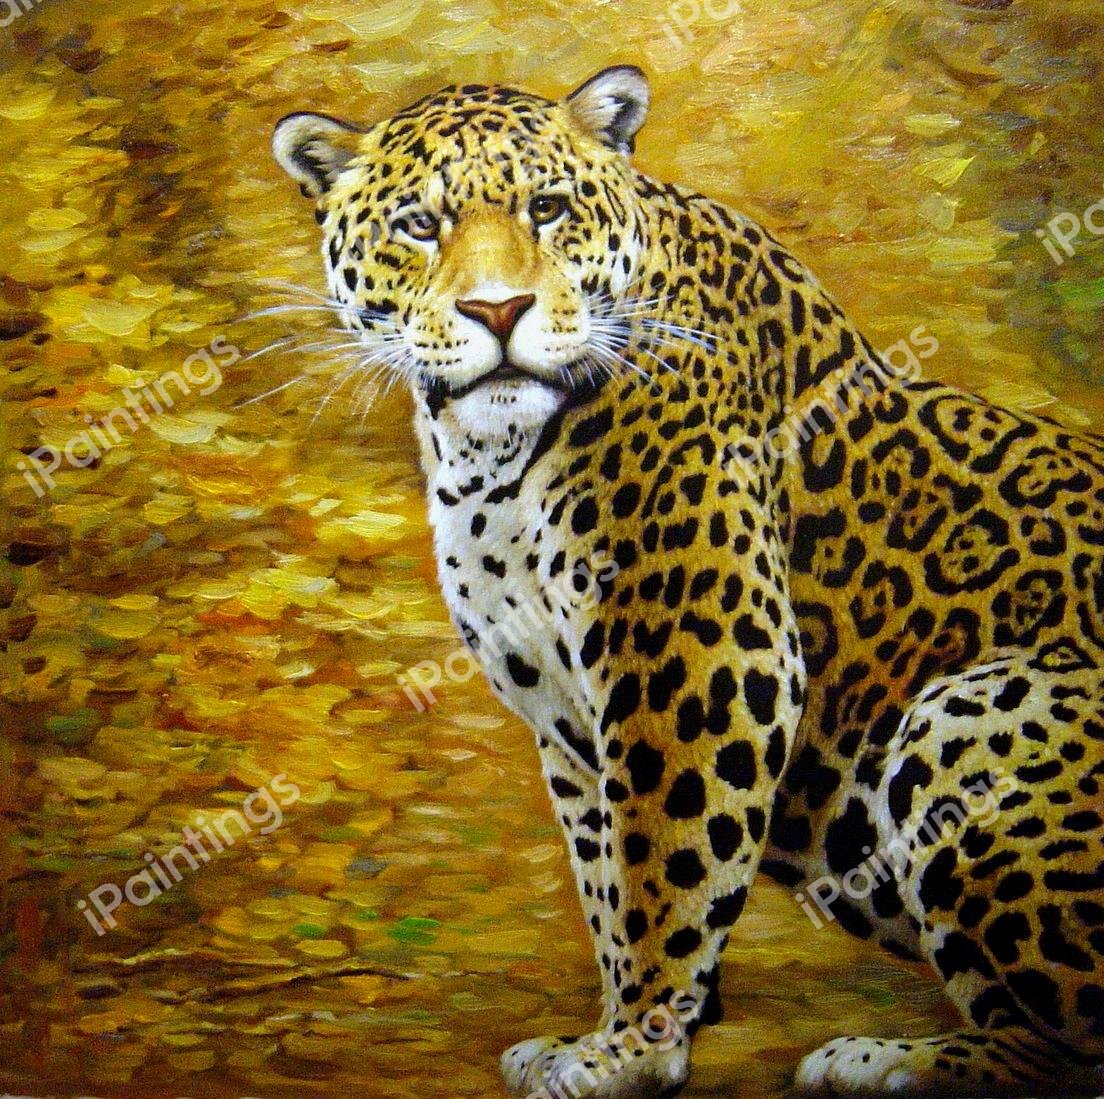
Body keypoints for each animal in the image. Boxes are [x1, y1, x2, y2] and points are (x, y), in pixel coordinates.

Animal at [273, 65, 1104, 1098]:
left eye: (547, 209)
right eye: (420, 224)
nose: (498, 312)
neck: (490, 455)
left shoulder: (692, 654)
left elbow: (663, 862)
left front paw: (630, 1051)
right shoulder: (566, 710)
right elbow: (604, 872)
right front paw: (619, 1032)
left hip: (973, 707)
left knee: (1068, 1038)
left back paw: (885, 1060)